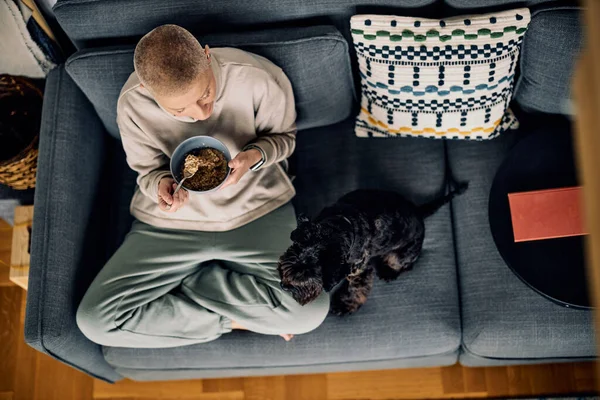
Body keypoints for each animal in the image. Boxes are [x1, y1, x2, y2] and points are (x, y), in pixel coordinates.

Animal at [278, 184, 466, 316]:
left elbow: (357, 290)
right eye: (296, 249)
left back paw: (388, 272)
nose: (285, 286)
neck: (341, 226)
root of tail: (419, 212)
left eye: (319, 270)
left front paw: (345, 305)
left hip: (403, 253)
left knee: (405, 264)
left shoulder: (361, 271)